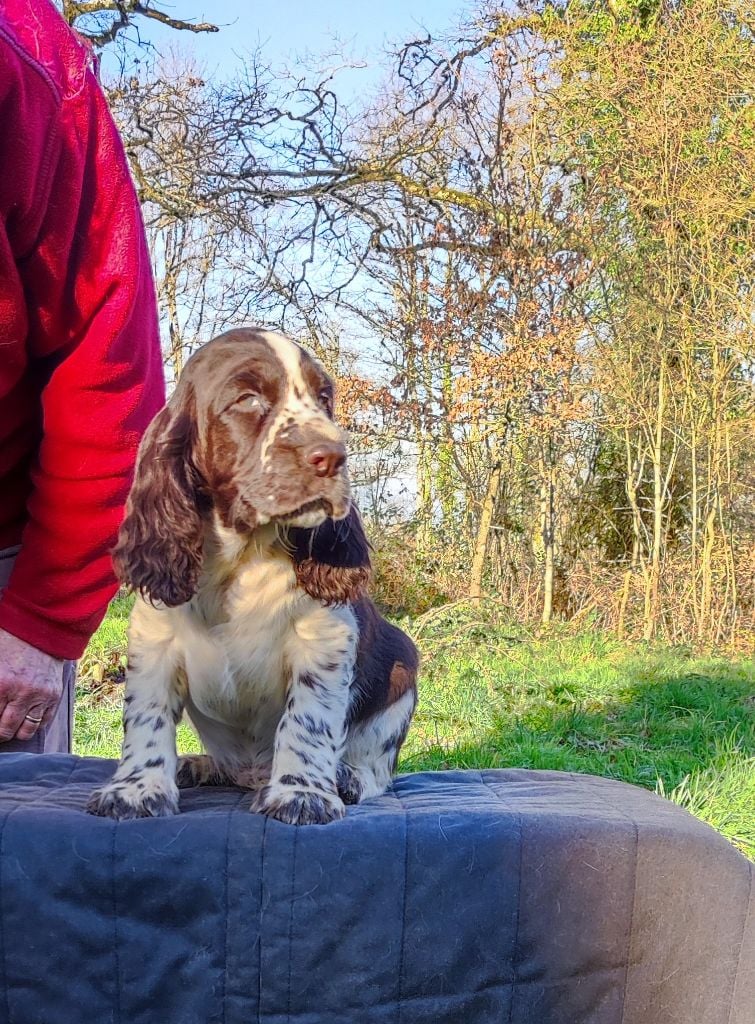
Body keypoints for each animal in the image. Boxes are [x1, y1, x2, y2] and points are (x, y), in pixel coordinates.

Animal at [90, 327, 417, 823]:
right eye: (247, 399)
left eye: (324, 399)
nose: (332, 456)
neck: (243, 556)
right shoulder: (154, 636)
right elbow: (146, 714)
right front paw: (136, 789)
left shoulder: (325, 638)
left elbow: (308, 719)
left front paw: (302, 794)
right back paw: (199, 765)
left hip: (403, 665)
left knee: (378, 767)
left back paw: (346, 778)